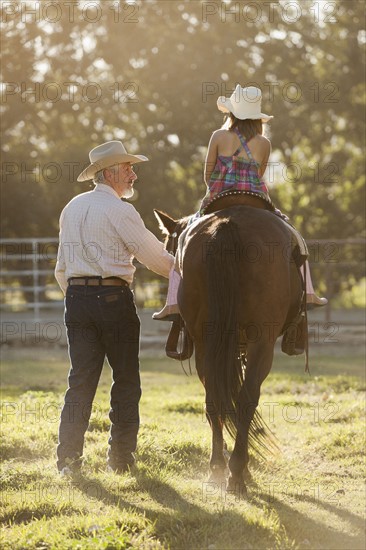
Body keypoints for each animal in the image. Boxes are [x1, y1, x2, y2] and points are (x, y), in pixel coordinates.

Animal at [154, 199, 306, 500]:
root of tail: (225, 226)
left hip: (206, 342)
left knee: (213, 398)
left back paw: (217, 469)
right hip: (260, 343)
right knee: (246, 399)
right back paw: (236, 473)